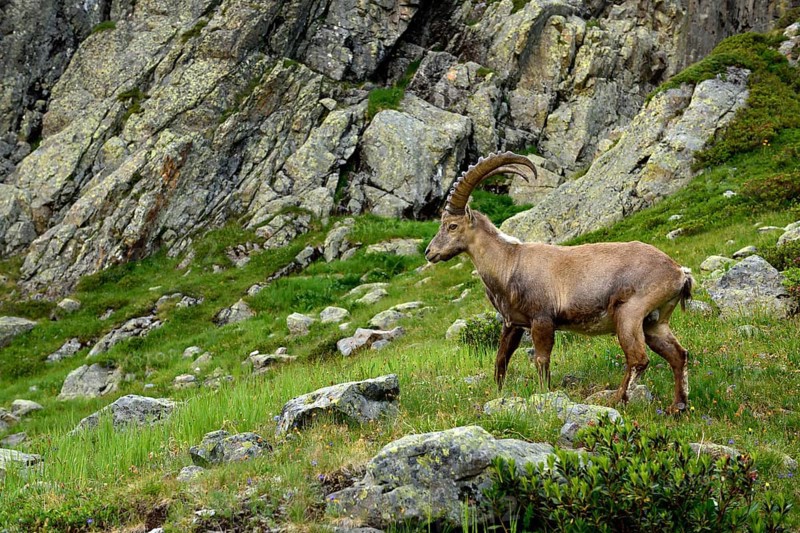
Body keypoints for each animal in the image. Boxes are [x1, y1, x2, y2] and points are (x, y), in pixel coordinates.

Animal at [425, 152, 694, 412]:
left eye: (452, 225)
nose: (430, 252)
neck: (510, 262)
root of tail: (679, 272)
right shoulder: (513, 323)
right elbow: (501, 359)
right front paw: (498, 393)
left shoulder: (542, 319)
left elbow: (541, 360)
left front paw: (544, 395)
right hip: (654, 322)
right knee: (678, 355)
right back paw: (677, 406)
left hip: (629, 314)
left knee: (638, 359)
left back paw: (617, 400)